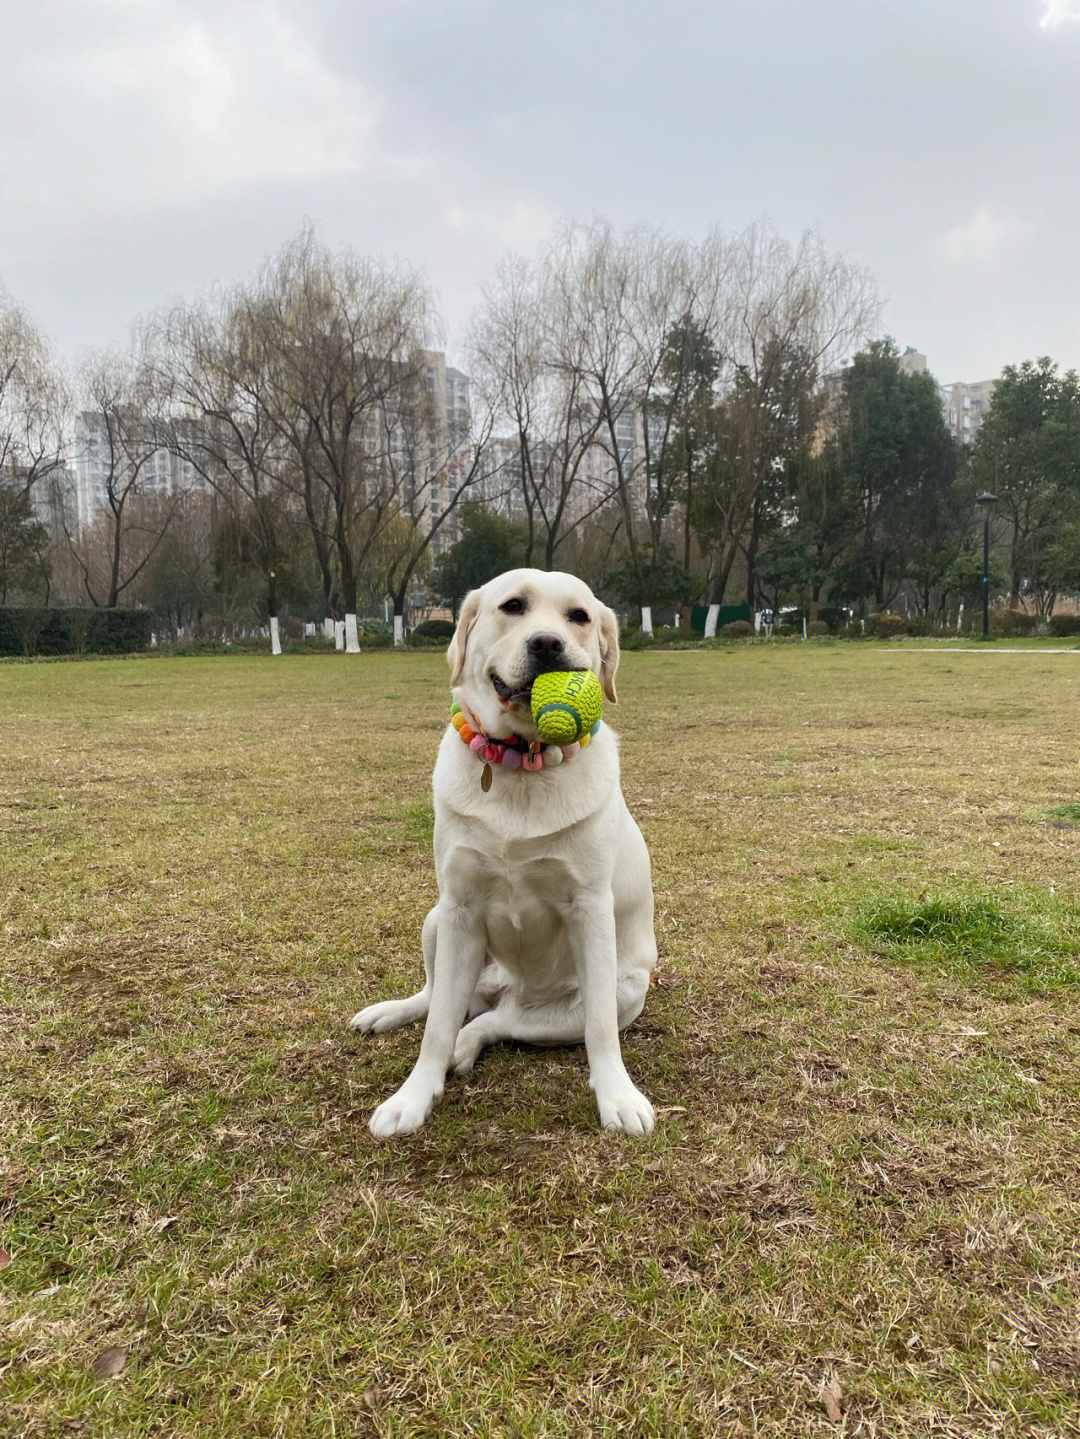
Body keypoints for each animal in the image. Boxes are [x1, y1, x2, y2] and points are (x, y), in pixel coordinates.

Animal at [352, 561, 658, 1133]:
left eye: (579, 617)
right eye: (513, 606)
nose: (547, 643)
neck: (522, 760)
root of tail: (503, 988)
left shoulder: (590, 909)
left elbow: (600, 1032)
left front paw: (618, 1096)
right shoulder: (460, 907)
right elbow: (434, 1030)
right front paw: (412, 1098)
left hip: (620, 991)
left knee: (496, 1021)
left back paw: (469, 1042)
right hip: (435, 921)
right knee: (439, 1001)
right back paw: (392, 1013)